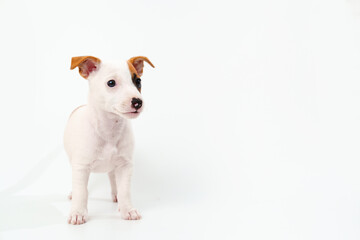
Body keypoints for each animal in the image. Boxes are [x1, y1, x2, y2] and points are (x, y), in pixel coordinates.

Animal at [64, 55, 154, 225]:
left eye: (138, 81)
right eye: (111, 83)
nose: (138, 102)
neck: (109, 129)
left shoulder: (125, 165)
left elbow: (125, 190)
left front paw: (127, 210)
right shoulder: (81, 167)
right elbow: (81, 191)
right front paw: (78, 212)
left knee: (113, 178)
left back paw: (116, 194)